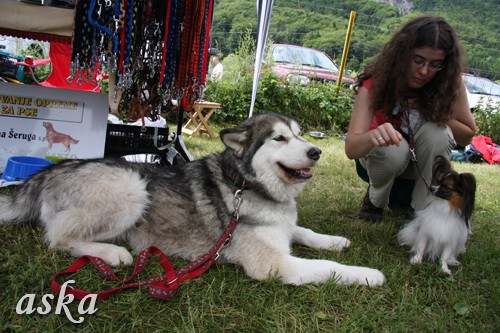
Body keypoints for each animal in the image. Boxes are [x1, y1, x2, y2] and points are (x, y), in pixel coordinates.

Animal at [0, 113, 384, 284]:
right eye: (279, 138)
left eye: (301, 135)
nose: (316, 152)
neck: (246, 185)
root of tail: (48, 172)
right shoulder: (272, 264)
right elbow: (329, 268)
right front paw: (369, 275)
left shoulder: (283, 227)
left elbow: (303, 231)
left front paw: (334, 240)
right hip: (131, 185)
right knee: (58, 237)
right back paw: (110, 253)